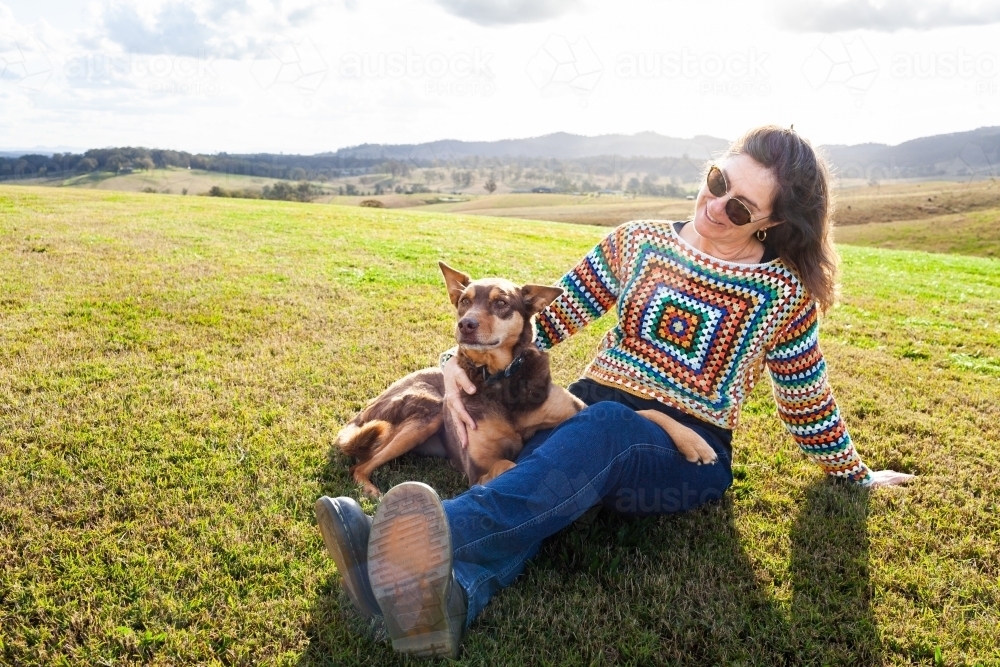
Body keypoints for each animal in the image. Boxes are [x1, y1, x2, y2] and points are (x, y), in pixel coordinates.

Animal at [336, 264, 584, 498]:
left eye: (501, 302)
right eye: (465, 301)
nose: (465, 324)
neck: (499, 377)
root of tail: (364, 411)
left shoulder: (578, 410)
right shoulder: (478, 471)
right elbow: (507, 465)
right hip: (430, 411)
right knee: (358, 467)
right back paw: (369, 490)